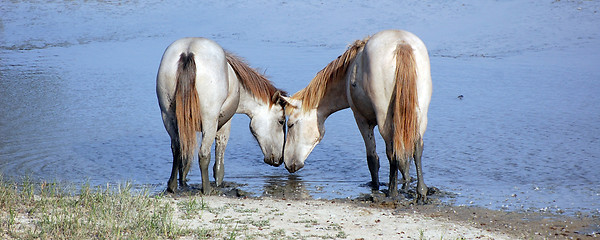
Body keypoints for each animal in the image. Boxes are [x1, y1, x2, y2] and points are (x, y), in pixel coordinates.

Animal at [155, 38, 286, 194]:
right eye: (281, 121)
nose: (280, 159)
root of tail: (188, 51)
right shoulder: (224, 125)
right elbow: (218, 162)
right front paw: (218, 183)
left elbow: (185, 159)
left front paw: (184, 181)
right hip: (209, 122)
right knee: (203, 154)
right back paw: (207, 190)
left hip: (167, 117)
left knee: (177, 149)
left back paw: (172, 186)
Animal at [282, 30, 432, 202]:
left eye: (291, 124)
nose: (287, 163)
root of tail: (401, 44)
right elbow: (403, 158)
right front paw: (406, 182)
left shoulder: (361, 119)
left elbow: (373, 159)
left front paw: (375, 186)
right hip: (418, 116)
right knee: (417, 147)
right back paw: (421, 192)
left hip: (384, 120)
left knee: (392, 151)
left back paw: (392, 192)